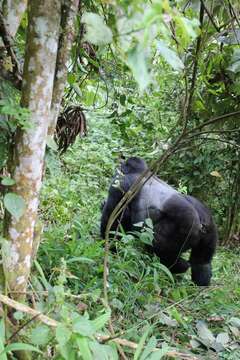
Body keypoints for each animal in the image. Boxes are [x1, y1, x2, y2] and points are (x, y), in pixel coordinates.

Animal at [101, 156, 218, 286]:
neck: (140, 172)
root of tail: (202, 222)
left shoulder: (120, 183)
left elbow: (111, 217)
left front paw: (107, 246)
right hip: (210, 225)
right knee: (201, 263)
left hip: (184, 226)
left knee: (157, 248)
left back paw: (179, 267)